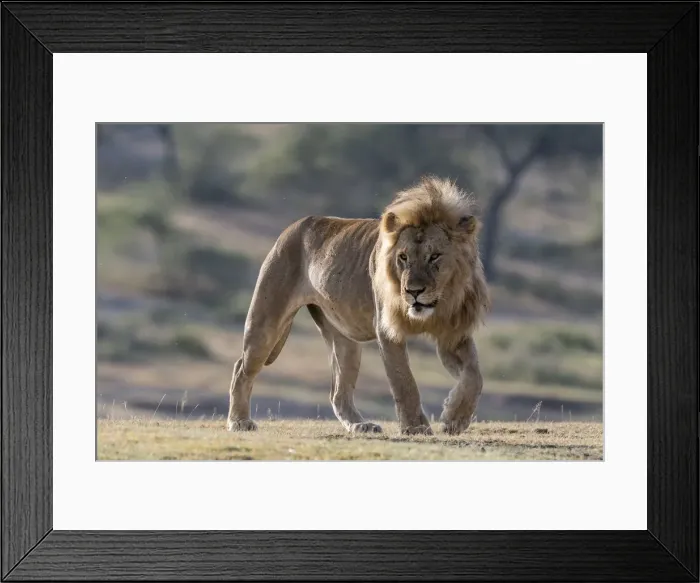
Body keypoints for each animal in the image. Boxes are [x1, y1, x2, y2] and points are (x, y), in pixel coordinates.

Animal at [227, 176, 490, 436]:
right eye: (403, 257)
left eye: (434, 256)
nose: (413, 292)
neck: (441, 301)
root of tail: (295, 225)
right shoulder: (387, 330)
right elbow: (404, 381)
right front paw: (416, 427)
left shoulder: (453, 333)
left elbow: (474, 376)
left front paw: (455, 419)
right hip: (266, 321)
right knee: (241, 368)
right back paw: (239, 421)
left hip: (345, 341)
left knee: (338, 392)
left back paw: (360, 425)